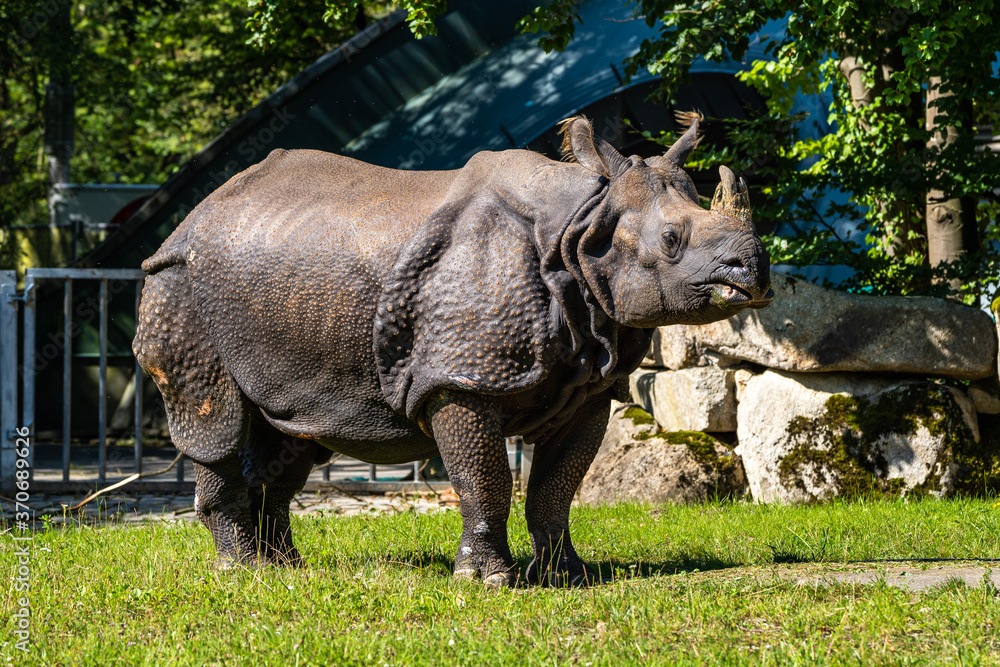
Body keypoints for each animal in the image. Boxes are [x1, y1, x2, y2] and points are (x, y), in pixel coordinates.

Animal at [133, 115, 772, 586]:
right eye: (671, 241)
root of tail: (193, 216)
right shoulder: (461, 378)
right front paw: (489, 581)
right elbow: (483, 477)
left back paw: (288, 570)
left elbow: (556, 487)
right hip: (178, 284)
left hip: (273, 286)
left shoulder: (588, 382)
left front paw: (567, 575)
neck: (582, 227)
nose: (754, 274)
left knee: (290, 433)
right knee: (215, 421)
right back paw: (243, 573)